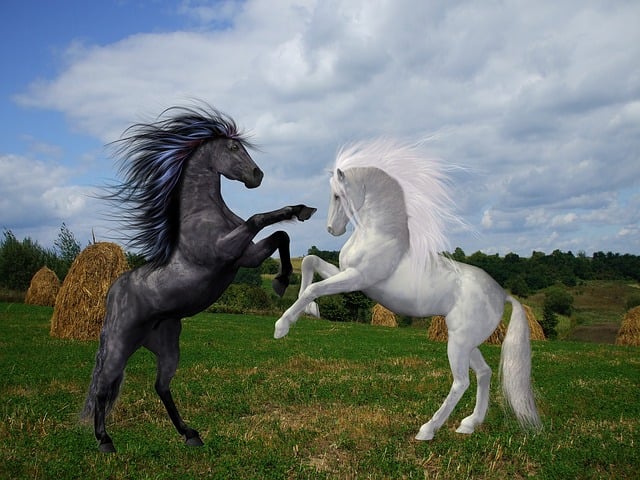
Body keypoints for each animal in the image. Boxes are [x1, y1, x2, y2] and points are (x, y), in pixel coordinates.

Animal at [81, 105, 316, 452]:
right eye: (232, 148)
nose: (257, 176)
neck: (205, 214)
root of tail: (113, 291)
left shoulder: (246, 256)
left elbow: (280, 235)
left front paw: (283, 273)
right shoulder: (225, 252)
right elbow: (258, 218)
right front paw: (282, 276)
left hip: (167, 346)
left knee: (161, 386)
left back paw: (190, 434)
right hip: (120, 342)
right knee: (103, 385)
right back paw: (105, 441)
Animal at [274, 138, 542, 440]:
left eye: (337, 195)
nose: (332, 229)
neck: (380, 235)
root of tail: (502, 294)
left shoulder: (357, 279)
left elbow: (315, 287)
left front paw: (282, 326)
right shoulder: (348, 274)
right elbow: (310, 262)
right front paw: (309, 311)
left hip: (459, 343)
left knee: (461, 382)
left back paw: (427, 430)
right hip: (467, 342)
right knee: (484, 374)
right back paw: (468, 425)